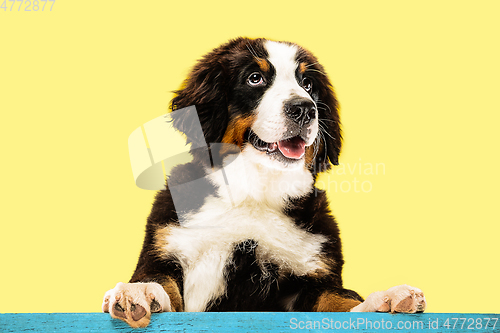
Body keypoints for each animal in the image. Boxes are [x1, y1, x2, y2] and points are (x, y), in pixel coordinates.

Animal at [101, 36, 426, 326]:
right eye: (255, 78)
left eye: (308, 84)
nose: (304, 109)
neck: (255, 193)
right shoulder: (166, 246)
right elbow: (159, 280)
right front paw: (139, 293)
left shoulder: (309, 277)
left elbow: (338, 299)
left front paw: (383, 301)